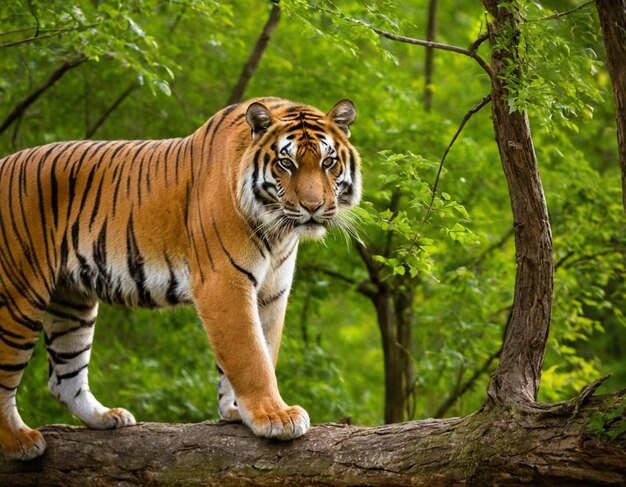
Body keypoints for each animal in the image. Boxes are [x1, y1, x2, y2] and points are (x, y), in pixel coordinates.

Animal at [0, 96, 360, 462]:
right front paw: (274, 416)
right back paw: (20, 441)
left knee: (64, 379)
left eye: (328, 162)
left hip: (72, 302)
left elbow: (262, 349)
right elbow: (249, 355)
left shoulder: (271, 292)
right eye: (286, 163)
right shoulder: (224, 283)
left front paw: (237, 411)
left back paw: (106, 418)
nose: (313, 207)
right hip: (18, 295)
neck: (278, 231)